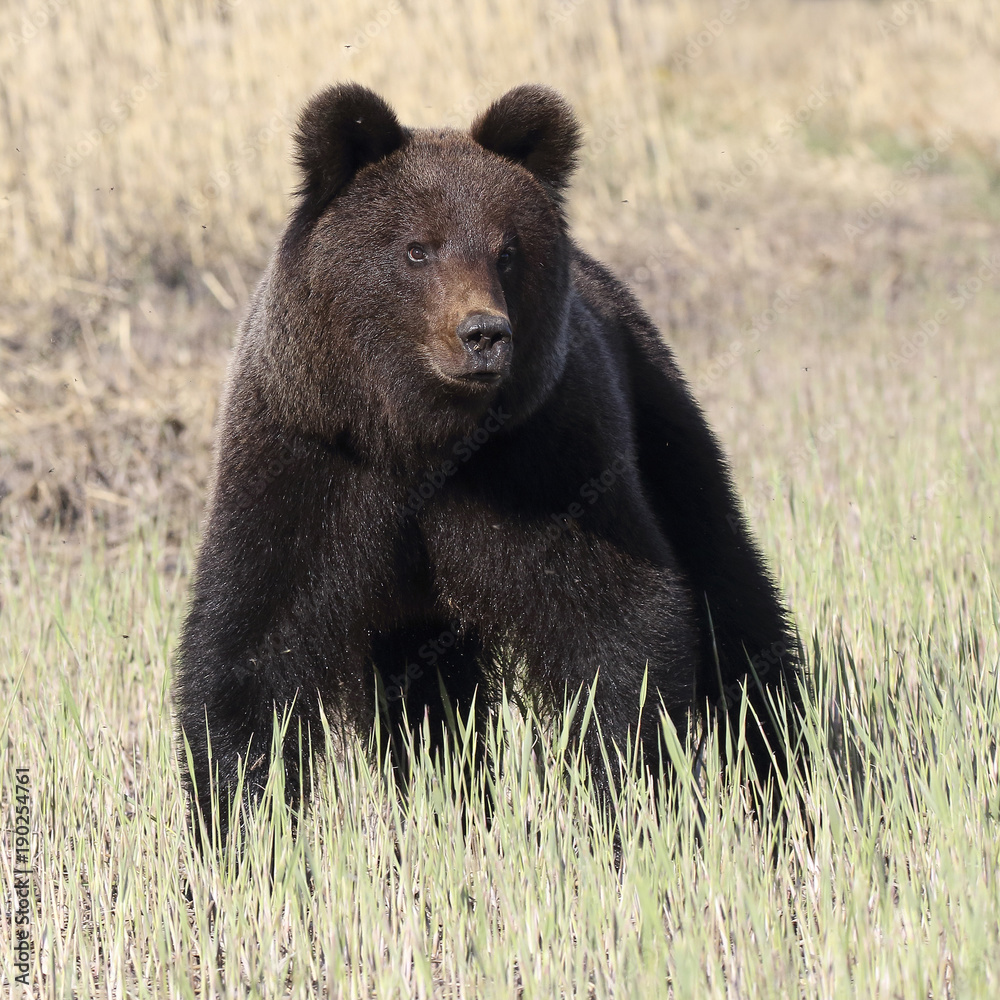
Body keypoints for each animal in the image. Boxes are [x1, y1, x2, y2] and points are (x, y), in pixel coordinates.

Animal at [175, 82, 802, 846]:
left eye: (506, 251)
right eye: (417, 248)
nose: (483, 334)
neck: (419, 440)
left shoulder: (545, 465)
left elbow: (614, 622)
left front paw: (628, 796)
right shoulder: (309, 462)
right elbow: (254, 648)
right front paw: (241, 825)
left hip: (661, 420)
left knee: (726, 581)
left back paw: (787, 768)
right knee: (429, 697)